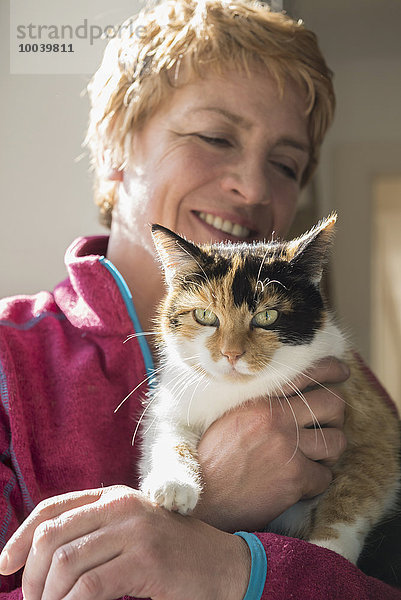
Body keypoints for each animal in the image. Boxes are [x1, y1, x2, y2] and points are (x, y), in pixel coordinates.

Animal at [137, 214, 396, 564]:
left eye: (267, 316)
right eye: (204, 315)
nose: (231, 354)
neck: (239, 393)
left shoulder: (371, 422)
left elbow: (355, 492)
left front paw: (329, 552)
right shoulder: (171, 404)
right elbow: (167, 437)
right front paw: (172, 484)